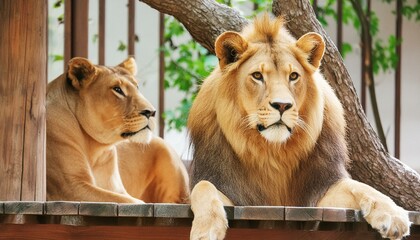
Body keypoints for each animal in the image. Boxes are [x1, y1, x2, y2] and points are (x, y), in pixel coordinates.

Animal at [46, 57, 189, 203]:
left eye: (137, 87)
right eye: (117, 89)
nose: (151, 112)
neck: (95, 150)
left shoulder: (116, 189)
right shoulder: (69, 187)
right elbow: (133, 202)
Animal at [188, 15, 410, 240]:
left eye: (293, 76)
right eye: (257, 76)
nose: (282, 105)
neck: (272, 152)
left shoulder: (321, 188)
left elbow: (362, 188)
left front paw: (393, 214)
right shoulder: (229, 189)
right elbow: (203, 186)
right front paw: (206, 228)